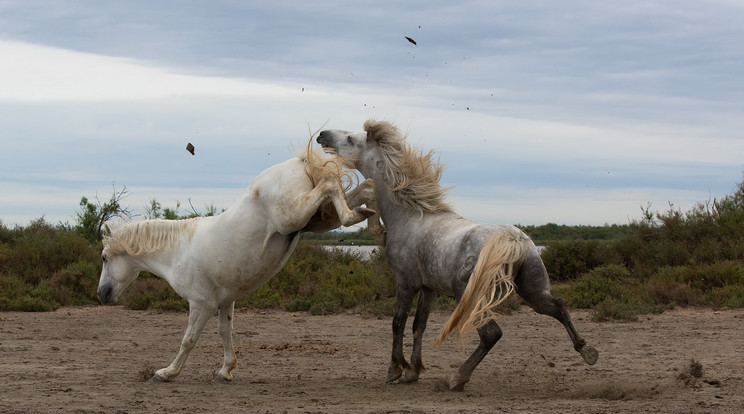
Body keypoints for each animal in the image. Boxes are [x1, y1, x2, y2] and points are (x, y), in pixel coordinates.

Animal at [96, 148, 380, 382]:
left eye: (104, 258)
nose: (101, 295)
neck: (178, 251)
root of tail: (299, 162)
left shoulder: (201, 304)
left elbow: (189, 340)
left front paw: (167, 373)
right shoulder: (225, 301)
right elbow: (225, 332)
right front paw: (226, 370)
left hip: (294, 216)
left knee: (330, 184)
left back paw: (362, 219)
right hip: (315, 219)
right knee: (365, 187)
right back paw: (373, 221)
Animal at [316, 119, 596, 392]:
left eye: (351, 138)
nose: (322, 135)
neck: (409, 216)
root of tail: (513, 241)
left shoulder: (405, 283)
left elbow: (398, 323)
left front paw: (395, 370)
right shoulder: (428, 288)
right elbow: (419, 325)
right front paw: (413, 372)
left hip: (470, 296)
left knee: (492, 334)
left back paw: (458, 378)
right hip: (533, 291)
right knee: (558, 306)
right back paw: (588, 352)